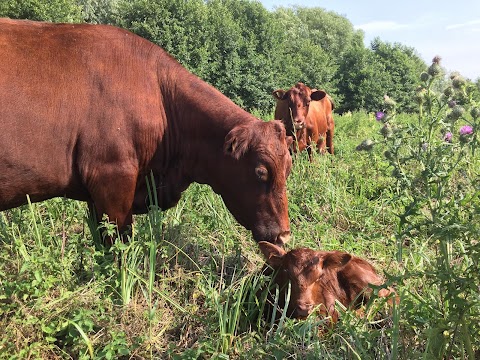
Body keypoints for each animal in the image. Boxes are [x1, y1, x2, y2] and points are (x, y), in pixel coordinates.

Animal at [0, 19, 290, 248]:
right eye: (260, 172)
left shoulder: (96, 194)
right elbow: (118, 248)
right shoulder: (112, 178)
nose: (284, 235)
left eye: (288, 170)